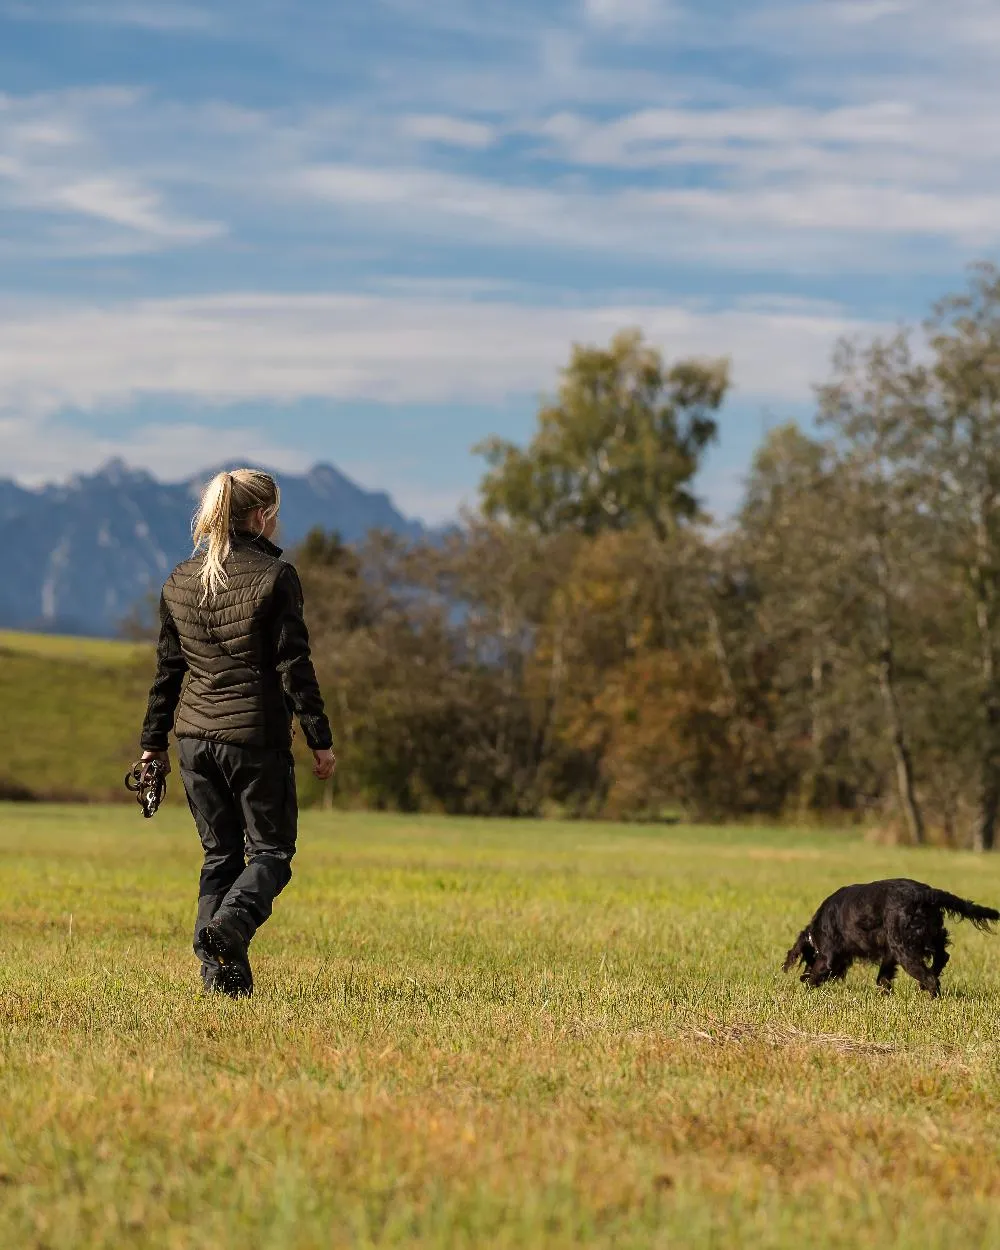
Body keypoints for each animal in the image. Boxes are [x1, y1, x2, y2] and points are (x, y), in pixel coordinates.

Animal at [785, 880, 995, 995]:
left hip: (906, 951)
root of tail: (926, 893)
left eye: (808, 959)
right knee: (941, 958)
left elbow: (817, 975)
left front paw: (805, 989)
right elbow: (883, 978)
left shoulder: (828, 957)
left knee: (930, 978)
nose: (801, 977)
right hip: (927, 937)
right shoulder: (889, 953)